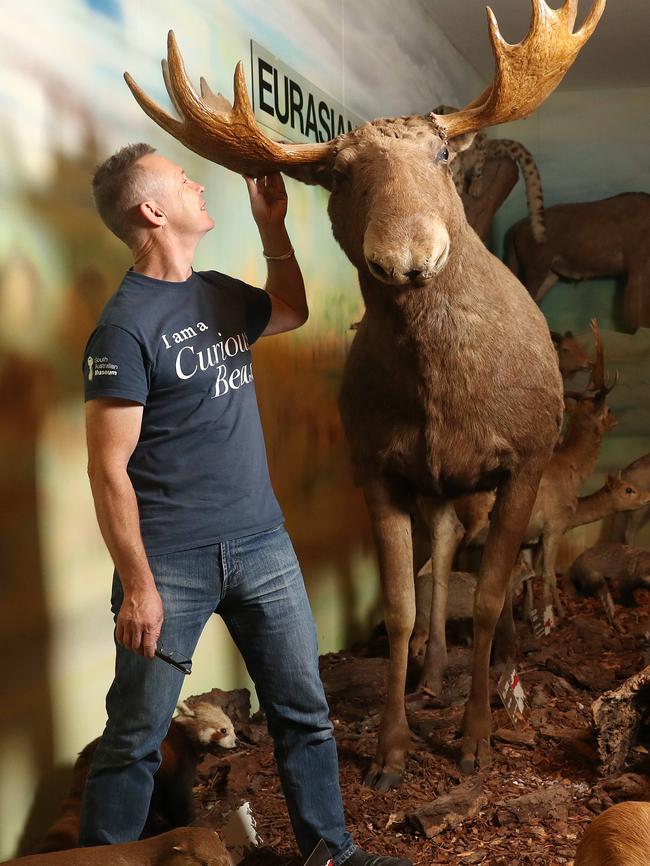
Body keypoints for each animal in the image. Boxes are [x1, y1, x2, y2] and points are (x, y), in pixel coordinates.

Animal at [125, 0, 604, 784]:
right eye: (339, 175)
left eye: (442, 155)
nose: (408, 257)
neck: (444, 398)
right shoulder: (376, 466)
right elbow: (401, 605)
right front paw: (390, 750)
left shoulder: (525, 459)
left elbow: (494, 594)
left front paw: (475, 741)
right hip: (438, 487)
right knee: (442, 555)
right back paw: (434, 673)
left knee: (495, 580)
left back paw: (502, 677)